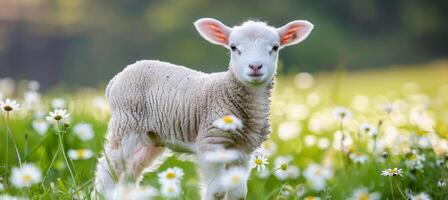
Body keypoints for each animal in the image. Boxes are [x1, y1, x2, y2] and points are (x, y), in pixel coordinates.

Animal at [94, 17, 312, 200]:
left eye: (275, 47)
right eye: (233, 47)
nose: (255, 66)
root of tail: (117, 78)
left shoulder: (243, 151)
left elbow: (238, 192)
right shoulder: (210, 142)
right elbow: (217, 190)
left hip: (151, 136)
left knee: (131, 170)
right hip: (126, 123)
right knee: (109, 168)